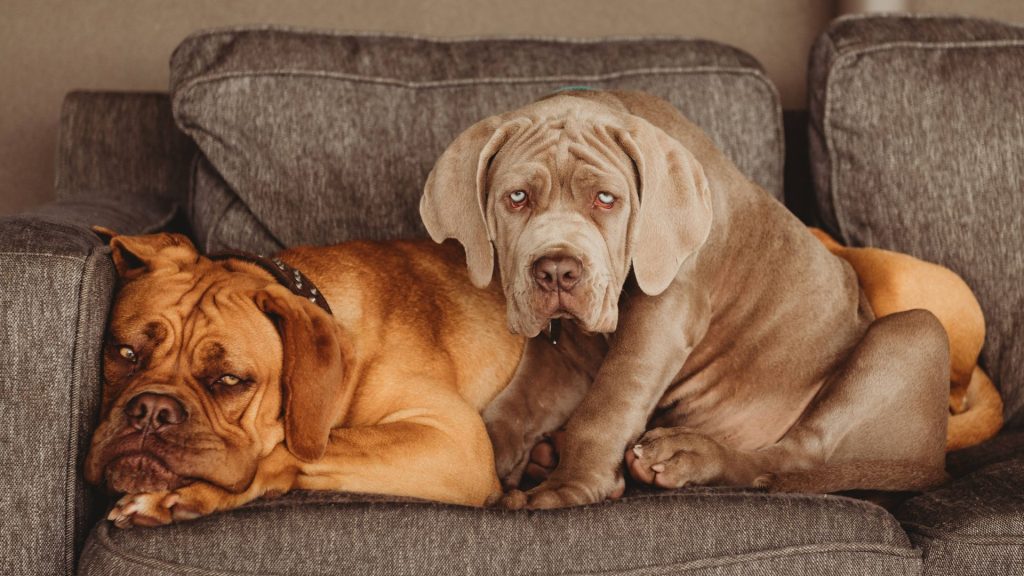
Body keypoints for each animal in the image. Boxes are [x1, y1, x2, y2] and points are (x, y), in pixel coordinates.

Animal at [83, 229, 524, 524]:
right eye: (125, 352)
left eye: (229, 380)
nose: (152, 410)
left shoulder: (454, 439)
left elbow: (299, 448)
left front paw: (184, 493)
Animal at [419, 88, 946, 506]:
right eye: (517, 198)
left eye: (606, 199)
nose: (556, 272)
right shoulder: (561, 355)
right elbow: (511, 409)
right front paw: (488, 465)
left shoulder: (664, 314)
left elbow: (606, 404)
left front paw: (569, 488)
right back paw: (548, 455)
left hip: (915, 329)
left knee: (791, 459)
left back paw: (688, 454)